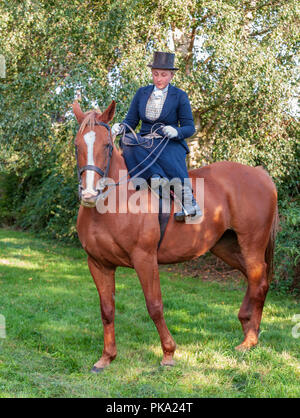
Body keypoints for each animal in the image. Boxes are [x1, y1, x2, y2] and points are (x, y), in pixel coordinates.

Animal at [73, 100, 278, 372]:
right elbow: (107, 309)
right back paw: (247, 327)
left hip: (251, 244)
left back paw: (250, 340)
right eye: (77, 145)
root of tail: (259, 174)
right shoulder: (98, 263)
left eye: (106, 145)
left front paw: (168, 354)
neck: (115, 202)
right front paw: (106, 357)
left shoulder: (145, 259)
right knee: (255, 279)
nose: (89, 193)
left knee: (259, 281)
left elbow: (155, 306)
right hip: (227, 247)